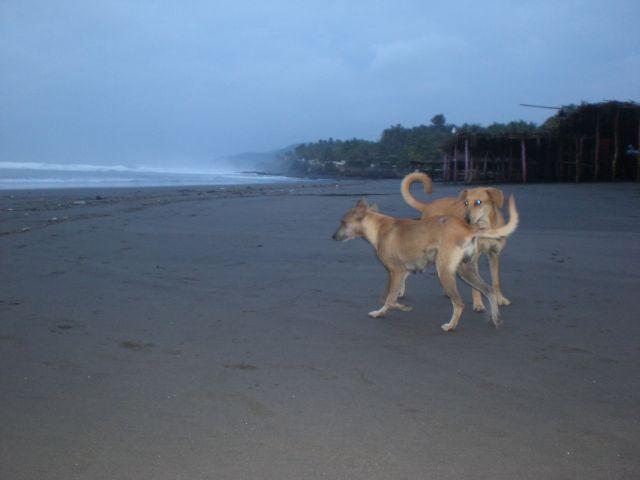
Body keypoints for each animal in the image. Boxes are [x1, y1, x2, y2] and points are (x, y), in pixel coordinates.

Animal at [332, 196, 519, 331]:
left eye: (343, 222)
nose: (333, 237)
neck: (378, 227)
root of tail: (467, 228)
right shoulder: (403, 272)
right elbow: (388, 297)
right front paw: (382, 312)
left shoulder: (396, 271)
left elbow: (390, 299)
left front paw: (401, 307)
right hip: (466, 271)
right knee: (490, 291)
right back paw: (495, 318)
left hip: (445, 272)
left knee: (459, 303)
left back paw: (451, 326)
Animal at [401, 171, 511, 312]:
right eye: (466, 202)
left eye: (478, 202)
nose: (465, 220)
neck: (484, 229)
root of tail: (427, 206)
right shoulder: (472, 259)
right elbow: (475, 287)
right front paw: (478, 304)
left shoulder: (494, 255)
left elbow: (496, 281)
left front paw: (500, 299)